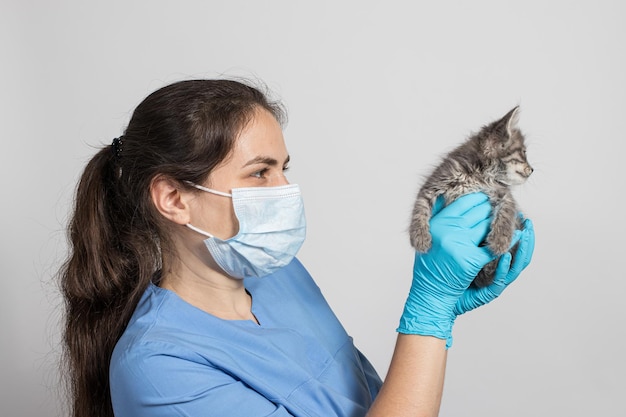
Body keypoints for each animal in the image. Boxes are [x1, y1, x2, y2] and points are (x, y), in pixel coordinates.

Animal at [410, 106, 532, 286]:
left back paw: (491, 266)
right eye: (524, 153)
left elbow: (506, 212)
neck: (479, 174)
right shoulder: (434, 183)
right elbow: (420, 209)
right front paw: (419, 238)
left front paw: (500, 241)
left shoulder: (504, 194)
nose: (532, 169)